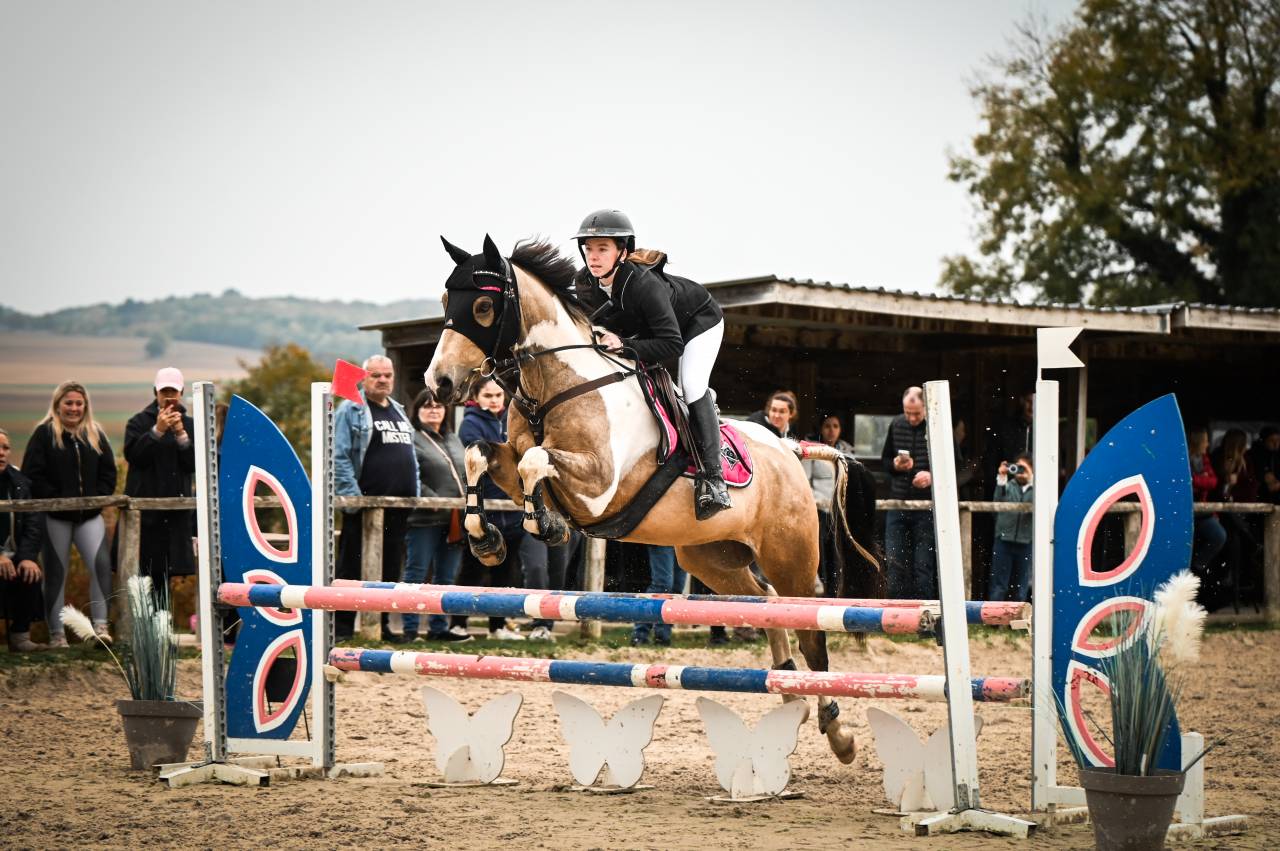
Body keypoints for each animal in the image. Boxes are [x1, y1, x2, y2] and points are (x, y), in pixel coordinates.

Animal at [423, 234, 881, 765]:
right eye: (444, 301)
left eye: (481, 306)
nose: (439, 384)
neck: (557, 385)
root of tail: (789, 450)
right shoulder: (513, 460)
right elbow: (481, 454)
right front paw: (486, 540)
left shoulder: (599, 486)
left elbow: (535, 461)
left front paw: (546, 524)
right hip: (710, 559)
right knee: (765, 604)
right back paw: (790, 697)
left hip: (789, 557)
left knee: (811, 628)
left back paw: (838, 731)